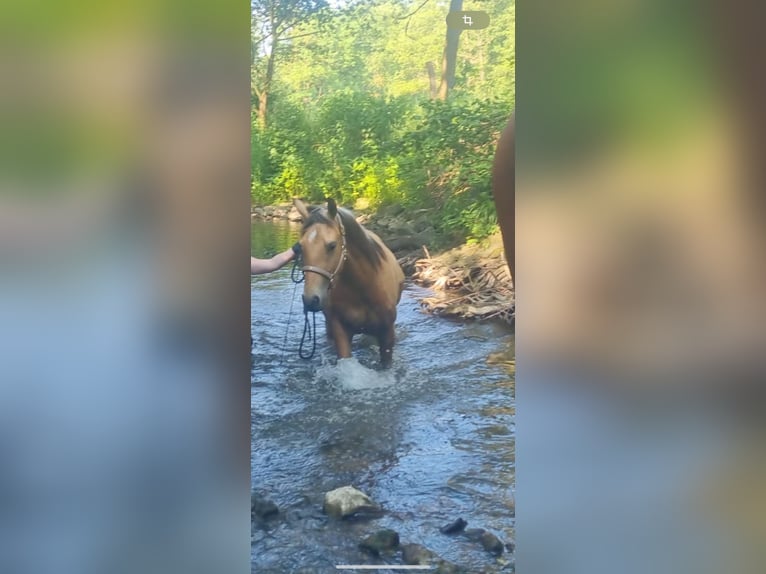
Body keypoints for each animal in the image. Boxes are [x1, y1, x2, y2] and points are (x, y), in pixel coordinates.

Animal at [292, 198, 408, 368]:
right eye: (299, 248)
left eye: (332, 245)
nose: (310, 299)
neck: (363, 288)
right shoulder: (340, 330)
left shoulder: (387, 332)